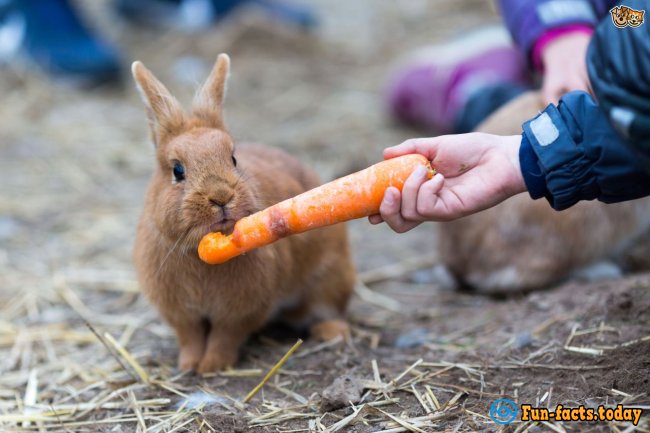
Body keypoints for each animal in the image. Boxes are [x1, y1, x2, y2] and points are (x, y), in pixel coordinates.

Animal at [132, 53, 354, 372]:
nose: (221, 197)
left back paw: (331, 332)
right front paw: (189, 365)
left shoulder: (240, 313)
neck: (202, 252)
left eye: (233, 159)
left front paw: (212, 366)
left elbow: (224, 337)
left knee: (328, 308)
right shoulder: (182, 315)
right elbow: (191, 337)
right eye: (177, 170)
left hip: (330, 277)